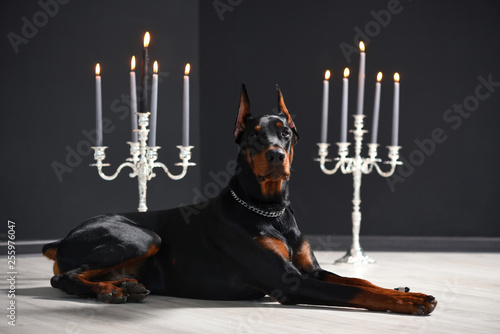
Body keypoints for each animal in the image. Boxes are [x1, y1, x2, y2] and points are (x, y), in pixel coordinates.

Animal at [44, 85, 438, 314]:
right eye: (253, 136)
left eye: (284, 133)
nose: (276, 155)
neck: (270, 210)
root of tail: (62, 239)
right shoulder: (289, 282)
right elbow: (356, 294)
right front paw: (407, 300)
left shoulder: (309, 270)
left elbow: (360, 282)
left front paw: (398, 287)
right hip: (144, 236)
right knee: (63, 277)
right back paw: (108, 291)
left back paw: (122, 285)